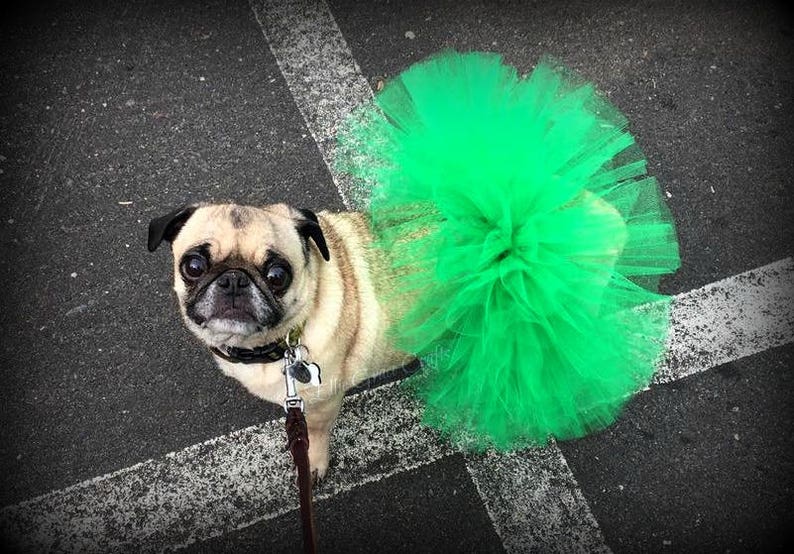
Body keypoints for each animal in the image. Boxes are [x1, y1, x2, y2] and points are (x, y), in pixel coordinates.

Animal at [145, 204, 412, 478]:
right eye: (194, 267)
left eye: (277, 275)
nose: (234, 279)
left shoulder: (323, 404)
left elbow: (315, 433)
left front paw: (312, 463)